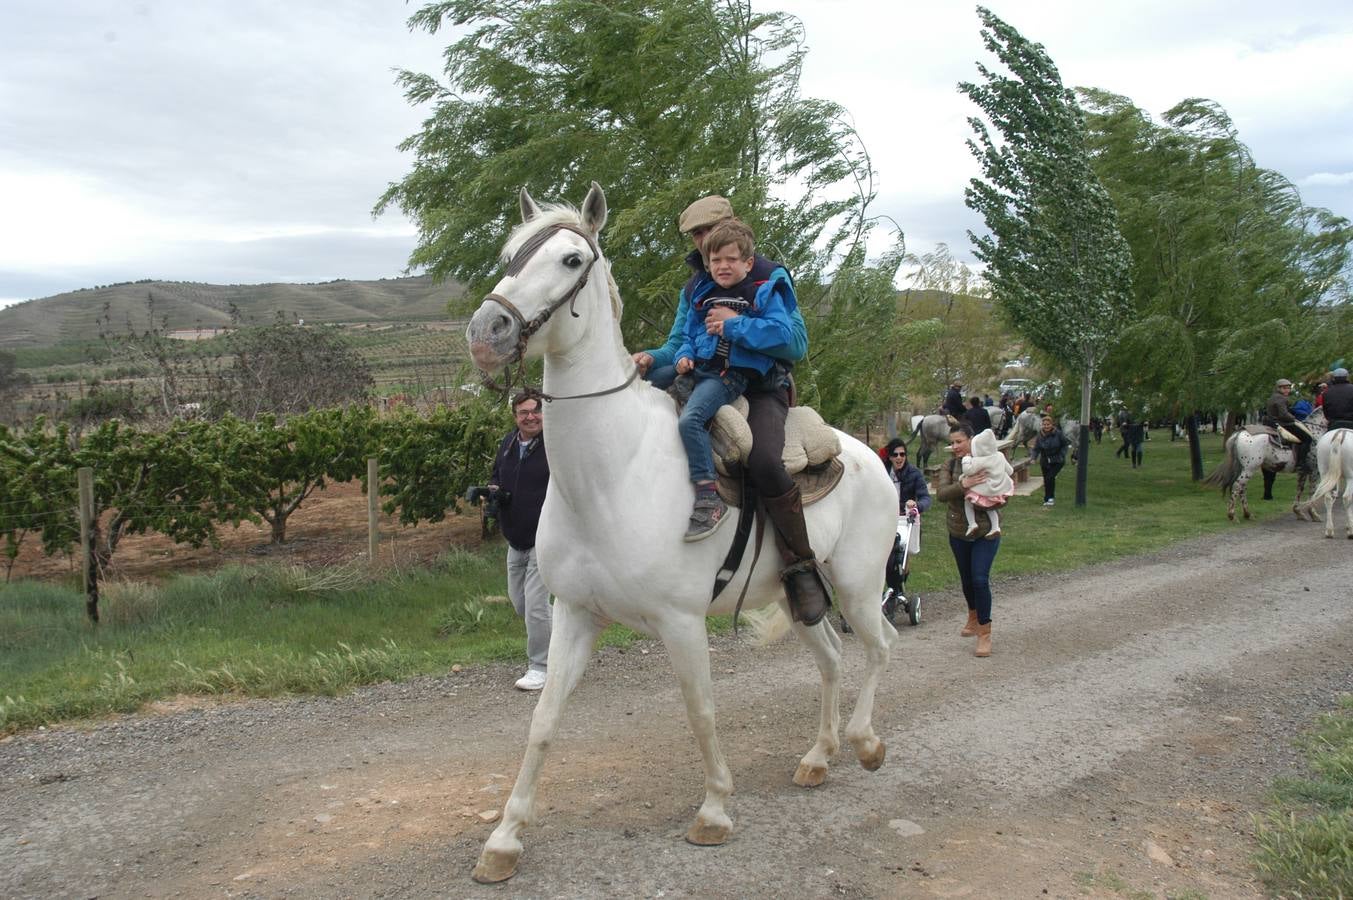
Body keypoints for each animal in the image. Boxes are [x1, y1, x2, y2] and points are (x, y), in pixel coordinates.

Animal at [462, 182, 898, 882]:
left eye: (569, 260)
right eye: (510, 256)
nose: (486, 332)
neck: (611, 475)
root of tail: (870, 456)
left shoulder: (681, 622)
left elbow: (701, 712)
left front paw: (715, 810)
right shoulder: (575, 615)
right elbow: (544, 721)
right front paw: (504, 839)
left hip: (857, 584)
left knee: (880, 647)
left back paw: (863, 742)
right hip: (801, 592)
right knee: (832, 659)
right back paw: (818, 756)